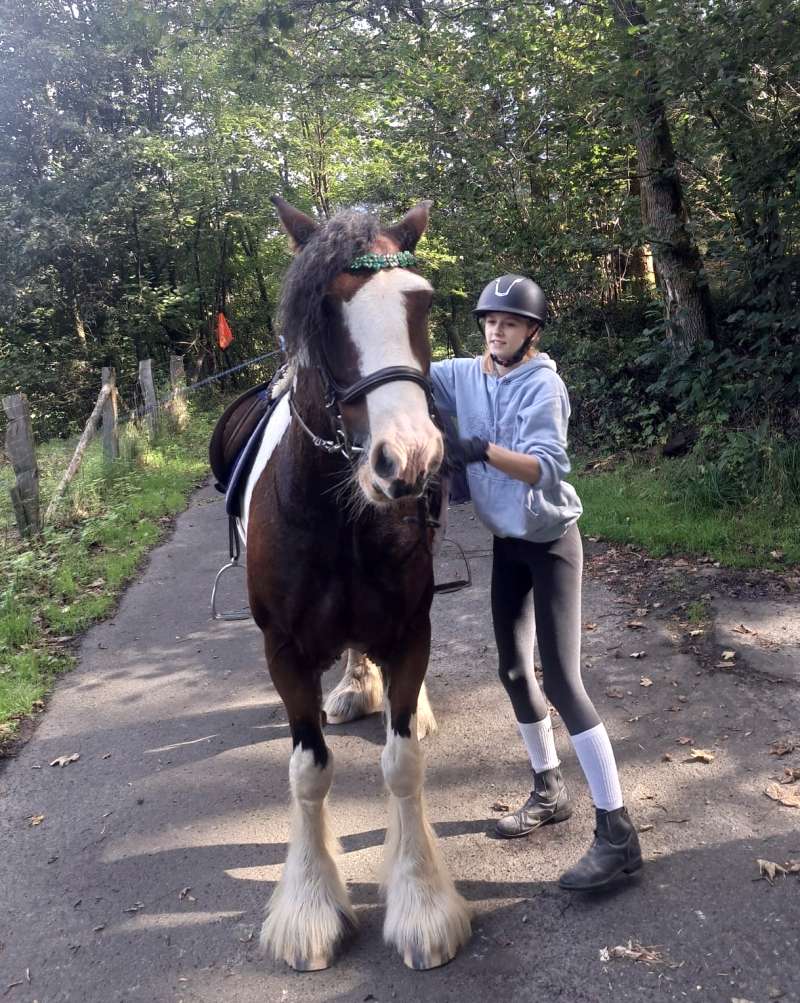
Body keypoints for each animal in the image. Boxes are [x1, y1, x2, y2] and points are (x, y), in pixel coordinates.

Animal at [238, 197, 471, 972]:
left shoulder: (409, 625)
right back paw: (353, 685)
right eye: (323, 311)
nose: (411, 458)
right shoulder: (283, 651)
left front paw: (422, 901)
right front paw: (310, 907)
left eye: (421, 301)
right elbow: (308, 771)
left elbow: (403, 764)